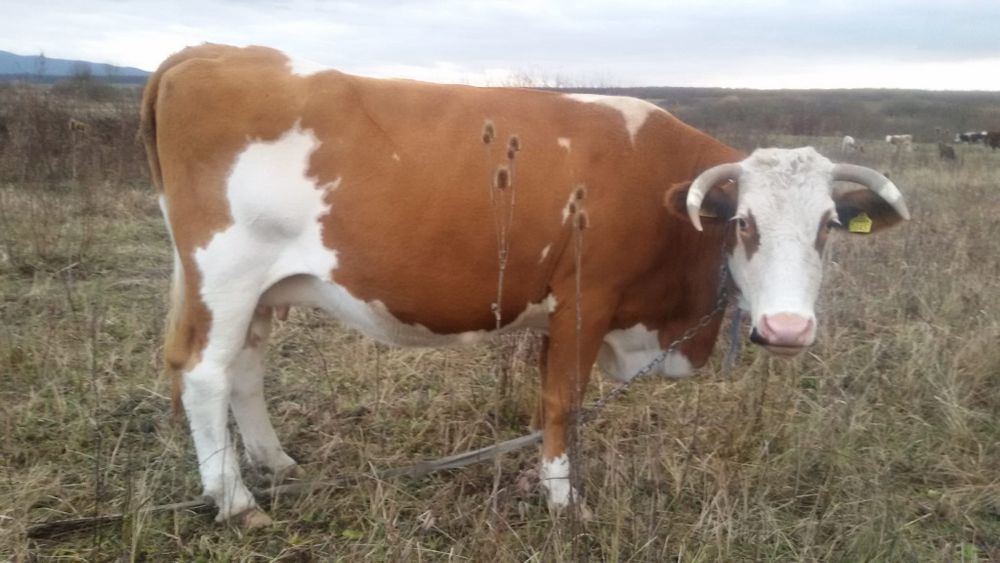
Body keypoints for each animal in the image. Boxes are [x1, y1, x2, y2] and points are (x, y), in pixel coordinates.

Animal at [141, 44, 910, 527]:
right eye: (744, 223)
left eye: (829, 226)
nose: (787, 329)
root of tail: (212, 52)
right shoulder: (585, 301)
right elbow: (563, 403)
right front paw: (563, 501)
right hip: (225, 273)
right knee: (204, 375)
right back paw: (236, 501)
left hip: (260, 290)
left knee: (245, 369)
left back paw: (274, 462)